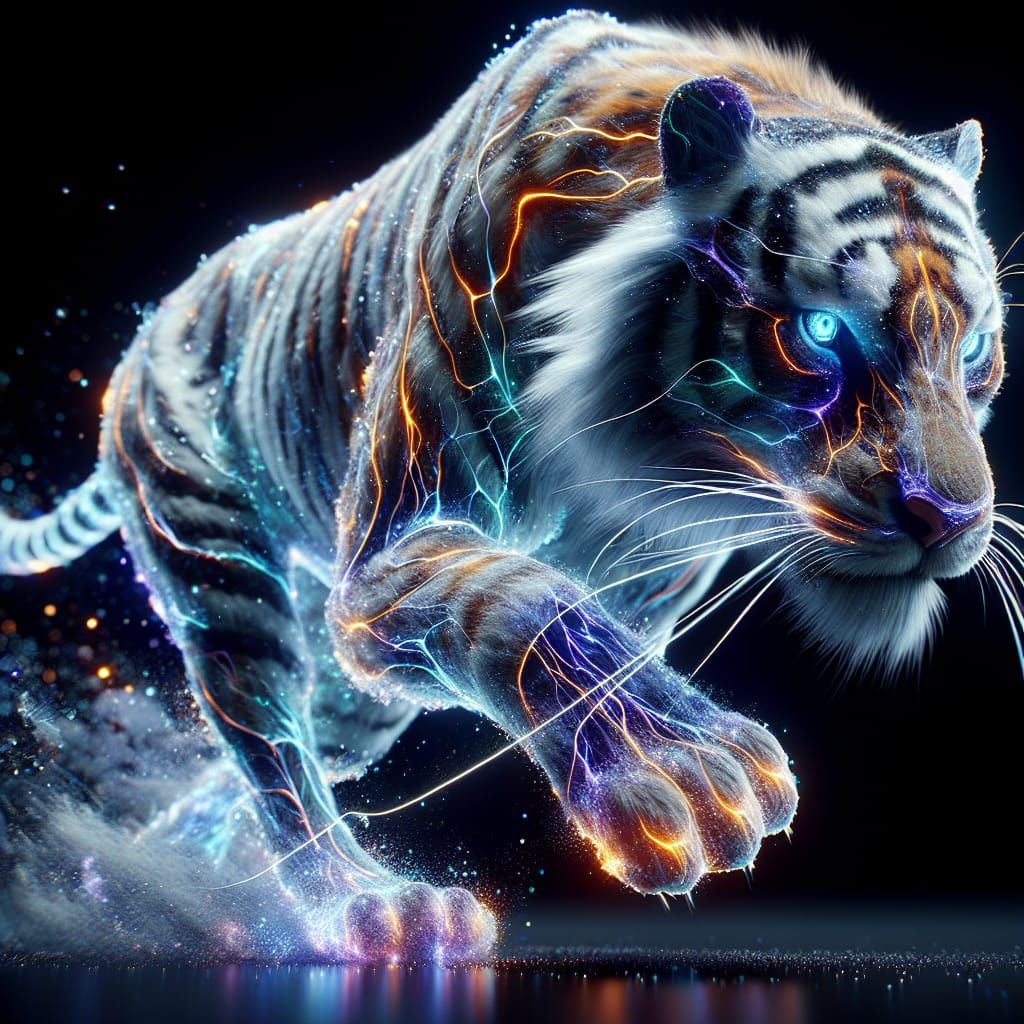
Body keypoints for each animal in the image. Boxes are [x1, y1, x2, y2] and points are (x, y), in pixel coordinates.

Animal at [1, 10, 1014, 962]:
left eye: (972, 347)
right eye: (820, 331)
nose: (951, 516)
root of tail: (142, 339)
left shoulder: (642, 582)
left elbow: (594, 633)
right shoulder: (391, 548)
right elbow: (533, 605)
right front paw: (685, 774)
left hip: (360, 709)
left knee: (270, 765)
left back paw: (149, 865)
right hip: (220, 576)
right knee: (271, 755)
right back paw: (373, 907)